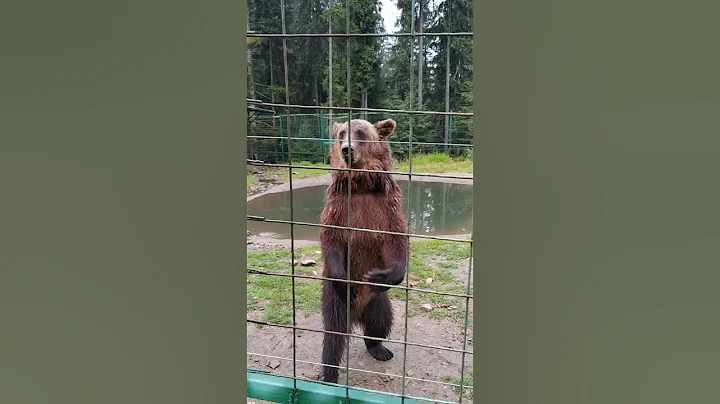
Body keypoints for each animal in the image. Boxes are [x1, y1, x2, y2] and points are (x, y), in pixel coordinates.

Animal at [318, 118, 409, 384]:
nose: (347, 149)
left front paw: (380, 275)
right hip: (336, 302)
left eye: (360, 132)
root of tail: (358, 315)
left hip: (378, 302)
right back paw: (330, 374)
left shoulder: (387, 207)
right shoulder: (338, 206)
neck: (360, 186)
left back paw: (379, 349)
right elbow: (331, 239)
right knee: (334, 337)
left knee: (380, 323)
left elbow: (396, 240)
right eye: (341, 133)